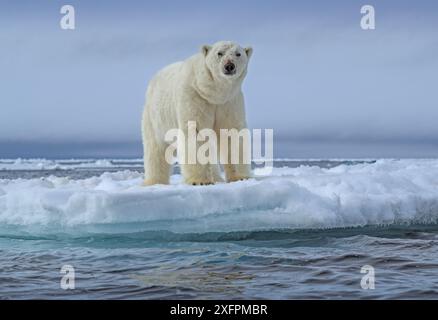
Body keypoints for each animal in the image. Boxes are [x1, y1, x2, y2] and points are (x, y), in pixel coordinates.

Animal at [142, 40, 253, 185]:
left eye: (238, 54)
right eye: (220, 53)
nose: (229, 66)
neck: (212, 93)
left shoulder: (229, 101)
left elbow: (231, 132)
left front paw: (241, 177)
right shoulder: (195, 96)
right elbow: (196, 132)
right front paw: (200, 181)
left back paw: (217, 178)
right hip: (155, 117)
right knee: (155, 148)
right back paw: (154, 181)